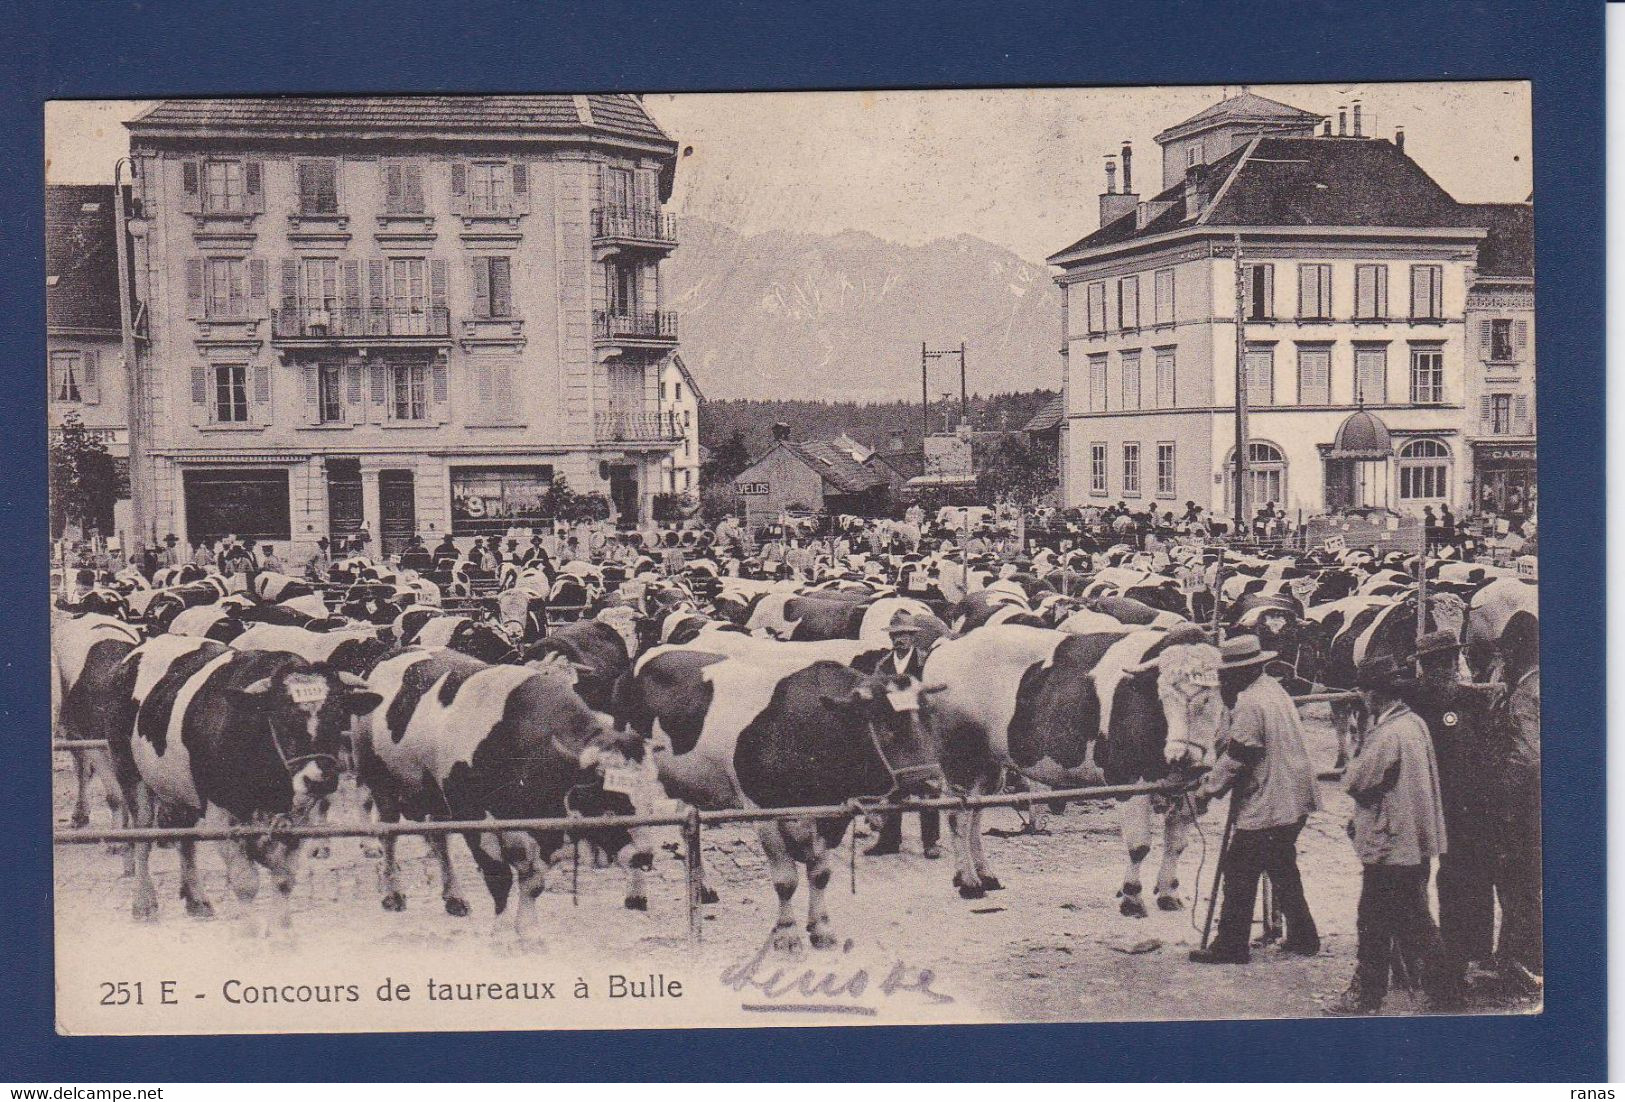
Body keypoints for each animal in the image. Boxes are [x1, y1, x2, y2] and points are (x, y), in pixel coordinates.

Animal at [106, 633, 381, 929]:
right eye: (281, 717)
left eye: (339, 715)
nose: (320, 780)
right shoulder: (222, 814)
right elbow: (245, 882)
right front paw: (250, 932)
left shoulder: (296, 817)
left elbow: (283, 877)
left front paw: (282, 931)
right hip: (130, 774)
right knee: (143, 838)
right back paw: (144, 903)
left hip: (180, 789)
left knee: (185, 839)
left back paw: (197, 900)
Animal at [624, 653, 949, 955]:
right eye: (886, 725)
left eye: (929, 720)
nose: (933, 784)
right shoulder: (764, 812)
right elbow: (785, 879)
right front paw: (787, 933)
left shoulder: (832, 816)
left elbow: (820, 874)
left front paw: (821, 928)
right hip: (635, 772)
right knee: (638, 830)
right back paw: (636, 895)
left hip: (691, 782)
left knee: (689, 827)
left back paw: (703, 888)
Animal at [923, 627, 1222, 910]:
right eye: (1163, 696)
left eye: (1211, 697)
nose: (1182, 756)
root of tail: (949, 644)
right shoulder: (1128, 778)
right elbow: (1139, 846)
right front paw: (1132, 898)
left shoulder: (1190, 787)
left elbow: (1176, 844)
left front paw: (1169, 894)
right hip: (961, 760)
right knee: (958, 816)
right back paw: (969, 883)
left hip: (990, 764)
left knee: (975, 814)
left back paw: (985, 875)